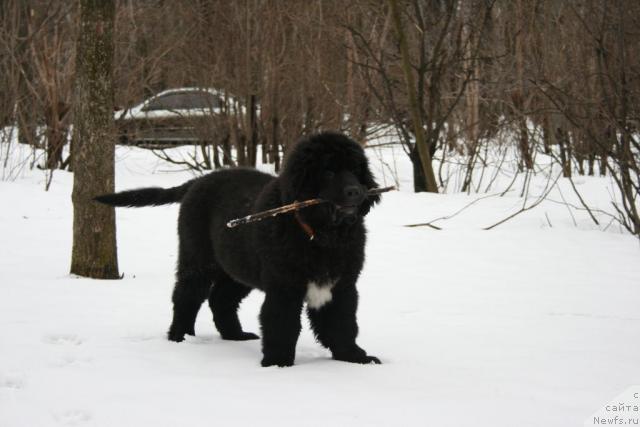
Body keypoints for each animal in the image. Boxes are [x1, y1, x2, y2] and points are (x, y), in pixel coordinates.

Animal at [97, 131, 382, 368]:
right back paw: (180, 337)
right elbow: (282, 324)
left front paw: (354, 357)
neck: (320, 235)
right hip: (198, 257)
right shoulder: (284, 287)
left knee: (220, 299)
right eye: (328, 172)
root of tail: (198, 181)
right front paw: (278, 364)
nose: (356, 192)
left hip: (236, 266)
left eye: (356, 170)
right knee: (186, 295)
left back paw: (235, 335)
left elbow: (342, 323)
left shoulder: (342, 285)